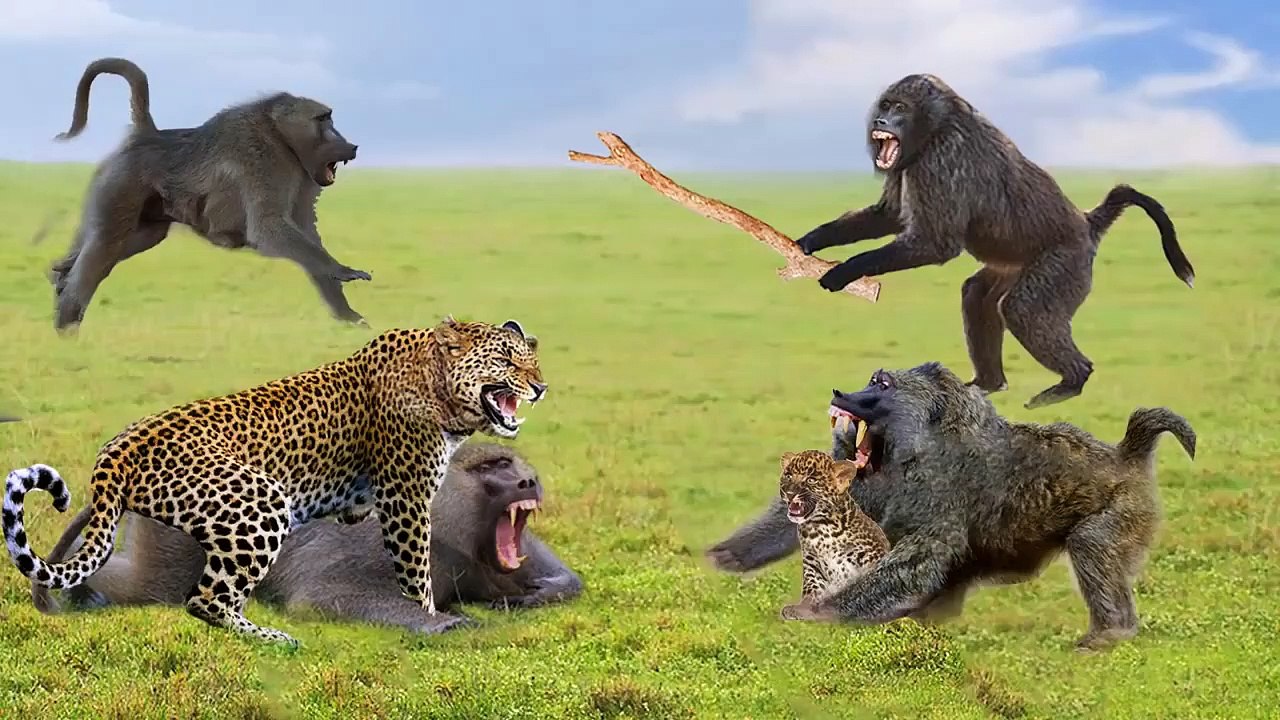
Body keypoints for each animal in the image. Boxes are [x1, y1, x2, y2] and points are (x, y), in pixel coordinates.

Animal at [3, 316, 547, 647]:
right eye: (506, 361)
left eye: (533, 360)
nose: (540, 388)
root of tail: (115, 455)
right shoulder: (406, 501)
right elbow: (416, 579)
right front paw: (433, 618)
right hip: (259, 505)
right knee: (201, 599)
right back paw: (277, 638)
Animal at [776, 449, 889, 620]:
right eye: (788, 476)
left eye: (811, 480)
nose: (788, 493)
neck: (820, 526)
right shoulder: (812, 561)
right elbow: (811, 586)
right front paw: (803, 608)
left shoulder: (870, 555)